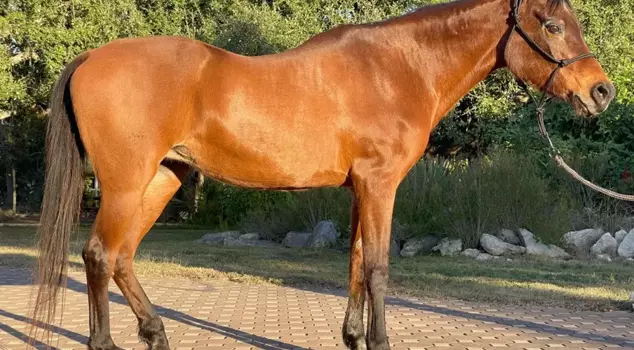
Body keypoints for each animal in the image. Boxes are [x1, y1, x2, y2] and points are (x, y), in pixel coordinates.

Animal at [30, 0, 612, 348]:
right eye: (551, 24)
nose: (601, 92)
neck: (398, 68)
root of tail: (90, 57)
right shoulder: (380, 185)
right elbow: (377, 268)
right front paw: (378, 340)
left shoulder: (362, 189)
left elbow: (354, 263)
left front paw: (353, 337)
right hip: (127, 183)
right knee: (99, 255)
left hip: (162, 178)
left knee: (121, 257)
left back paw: (155, 331)